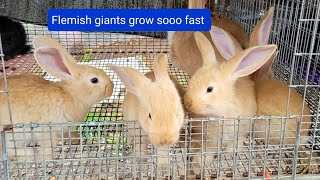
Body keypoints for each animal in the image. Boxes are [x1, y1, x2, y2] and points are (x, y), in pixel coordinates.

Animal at [184, 31, 276, 175]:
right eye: (191, 81)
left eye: (209, 89)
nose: (187, 103)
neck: (221, 111)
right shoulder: (210, 138)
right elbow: (208, 150)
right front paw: (198, 165)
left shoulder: (239, 130)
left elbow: (236, 141)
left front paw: (231, 151)